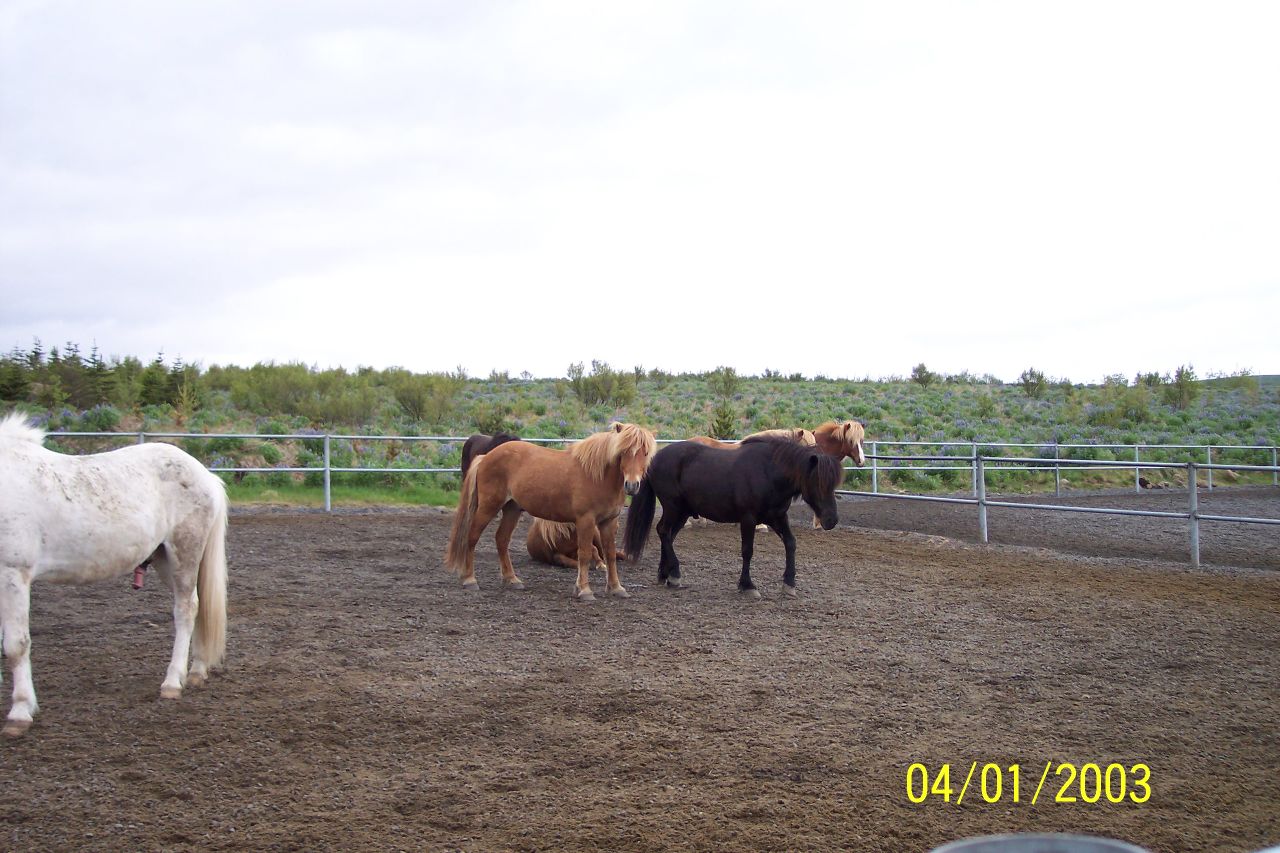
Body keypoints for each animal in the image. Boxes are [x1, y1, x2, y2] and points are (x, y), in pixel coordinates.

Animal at [0, 409, 227, 732]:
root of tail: (205, 475)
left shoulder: (13, 574)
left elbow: (16, 645)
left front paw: (20, 711)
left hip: (184, 553)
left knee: (186, 610)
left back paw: (172, 682)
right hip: (164, 560)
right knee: (196, 607)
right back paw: (196, 670)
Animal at [624, 435, 844, 594]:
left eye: (833, 484)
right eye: (818, 483)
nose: (831, 520)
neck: (768, 473)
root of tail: (655, 459)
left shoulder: (778, 517)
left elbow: (791, 543)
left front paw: (789, 583)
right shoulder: (748, 519)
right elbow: (747, 551)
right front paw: (747, 585)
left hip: (682, 512)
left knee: (668, 535)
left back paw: (666, 575)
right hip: (673, 507)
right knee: (664, 531)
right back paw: (675, 573)